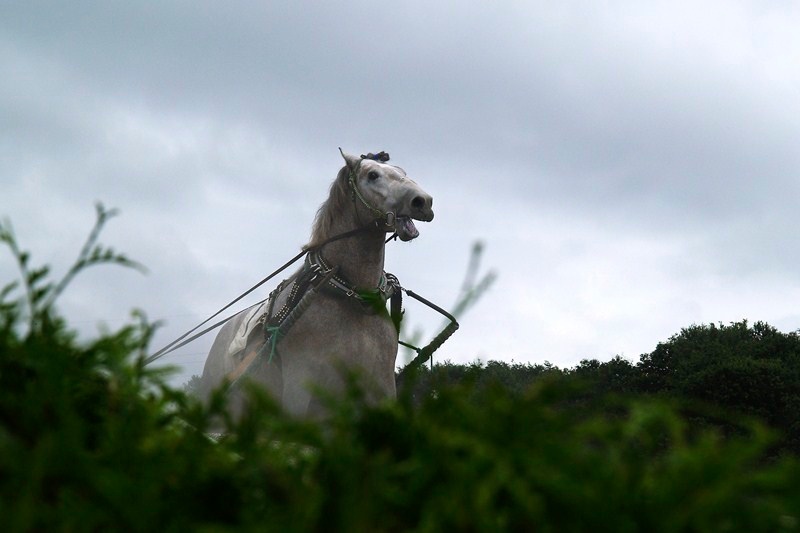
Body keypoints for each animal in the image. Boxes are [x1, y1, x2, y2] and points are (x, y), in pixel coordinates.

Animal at [199, 150, 434, 418]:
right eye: (372, 175)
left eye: (402, 172)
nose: (423, 201)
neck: (352, 300)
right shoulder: (300, 389)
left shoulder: (381, 387)